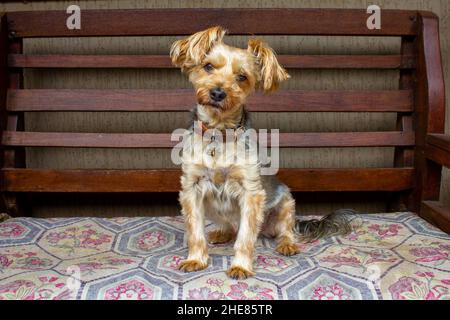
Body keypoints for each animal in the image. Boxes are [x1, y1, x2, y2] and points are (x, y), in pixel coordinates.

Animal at [169, 26, 352, 278]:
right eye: (208, 66)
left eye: (242, 77)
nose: (218, 93)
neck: (219, 132)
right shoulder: (192, 189)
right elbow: (195, 231)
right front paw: (196, 259)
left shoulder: (251, 192)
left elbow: (246, 236)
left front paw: (240, 266)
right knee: (229, 226)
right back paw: (221, 233)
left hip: (286, 202)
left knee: (285, 230)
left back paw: (287, 244)